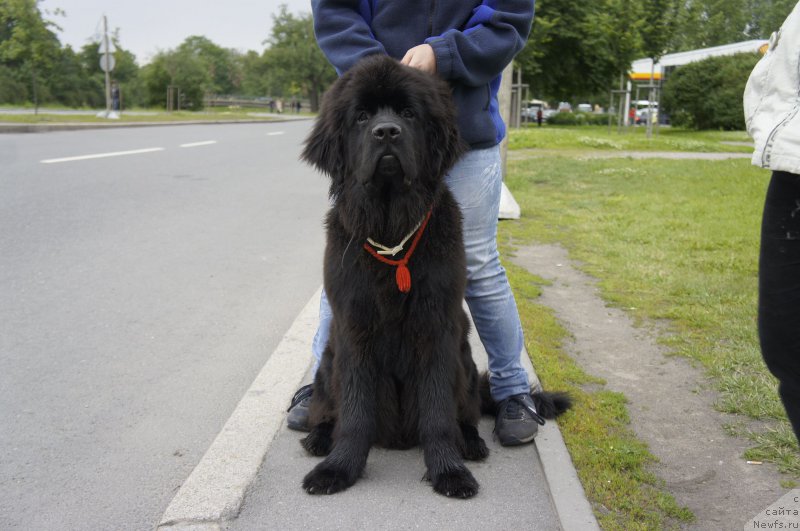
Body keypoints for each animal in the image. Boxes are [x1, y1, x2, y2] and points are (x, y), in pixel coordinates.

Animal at [300, 55, 568, 498]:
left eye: (408, 114)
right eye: (361, 116)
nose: (386, 131)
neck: (392, 229)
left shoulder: (437, 328)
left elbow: (438, 412)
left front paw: (448, 470)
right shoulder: (354, 330)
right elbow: (355, 411)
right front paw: (338, 468)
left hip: (465, 361)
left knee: (467, 413)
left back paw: (472, 443)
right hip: (327, 363)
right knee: (328, 408)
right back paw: (318, 437)